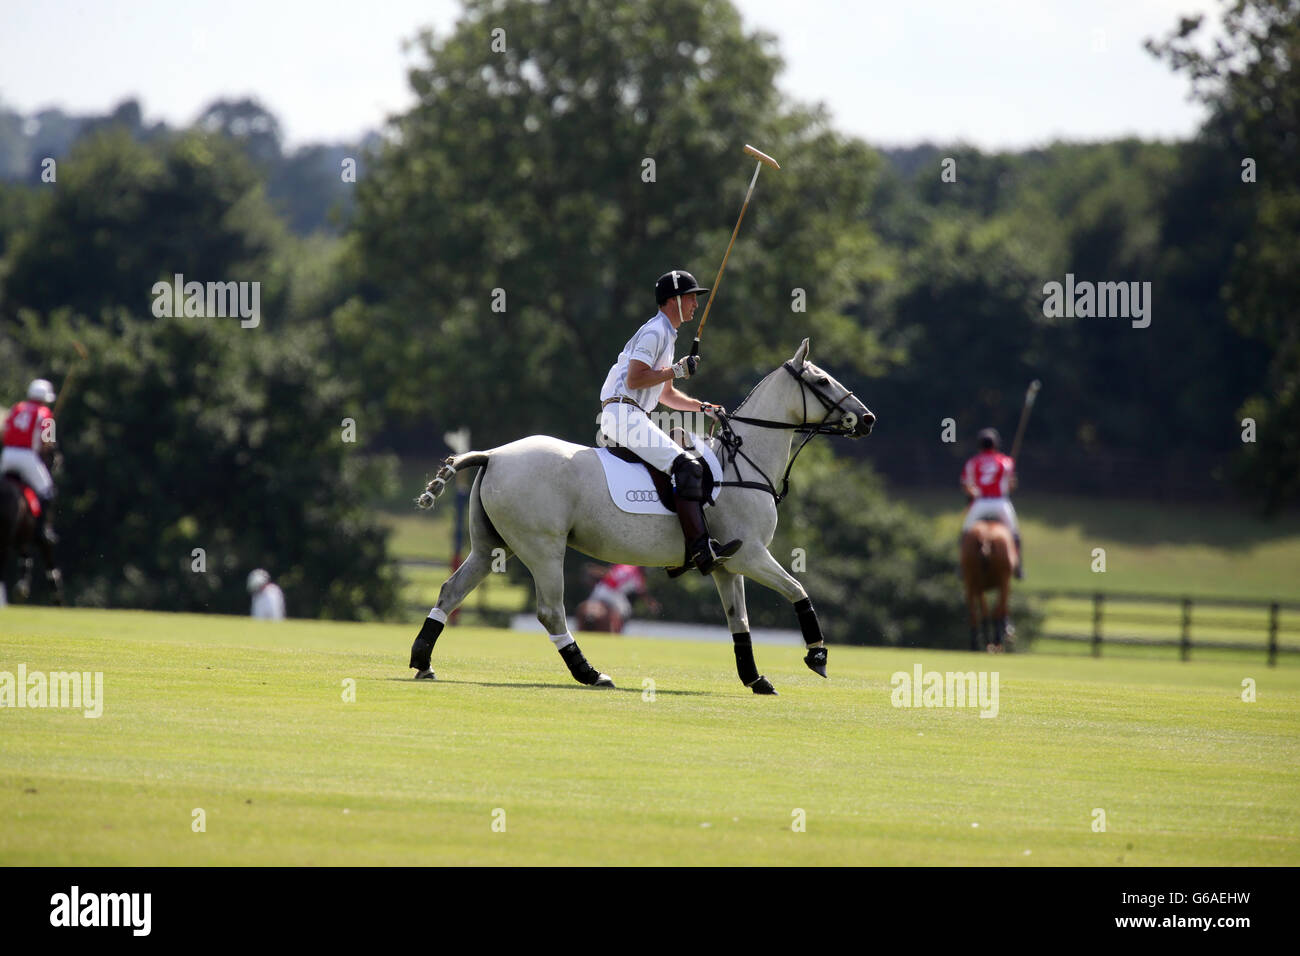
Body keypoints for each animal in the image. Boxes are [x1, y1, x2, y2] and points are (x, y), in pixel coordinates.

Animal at [961, 520, 1019, 655]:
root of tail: (986, 536)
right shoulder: (1004, 582)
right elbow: (1000, 609)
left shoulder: (979, 586)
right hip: (1002, 579)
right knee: (995, 611)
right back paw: (994, 643)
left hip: (971, 581)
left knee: (976, 613)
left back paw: (978, 645)